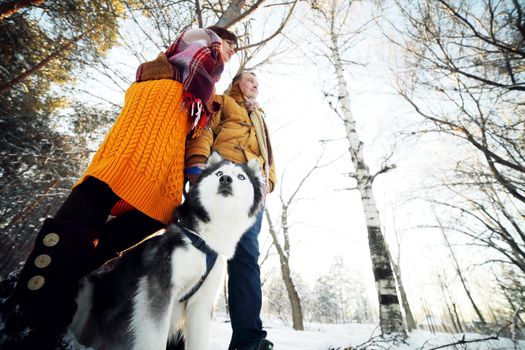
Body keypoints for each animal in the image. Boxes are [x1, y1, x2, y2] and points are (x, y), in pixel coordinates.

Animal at [69, 152, 264, 350]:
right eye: (219, 173)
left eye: (241, 177)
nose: (225, 179)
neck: (203, 240)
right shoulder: (160, 288)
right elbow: (155, 338)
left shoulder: (201, 303)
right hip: (87, 289)